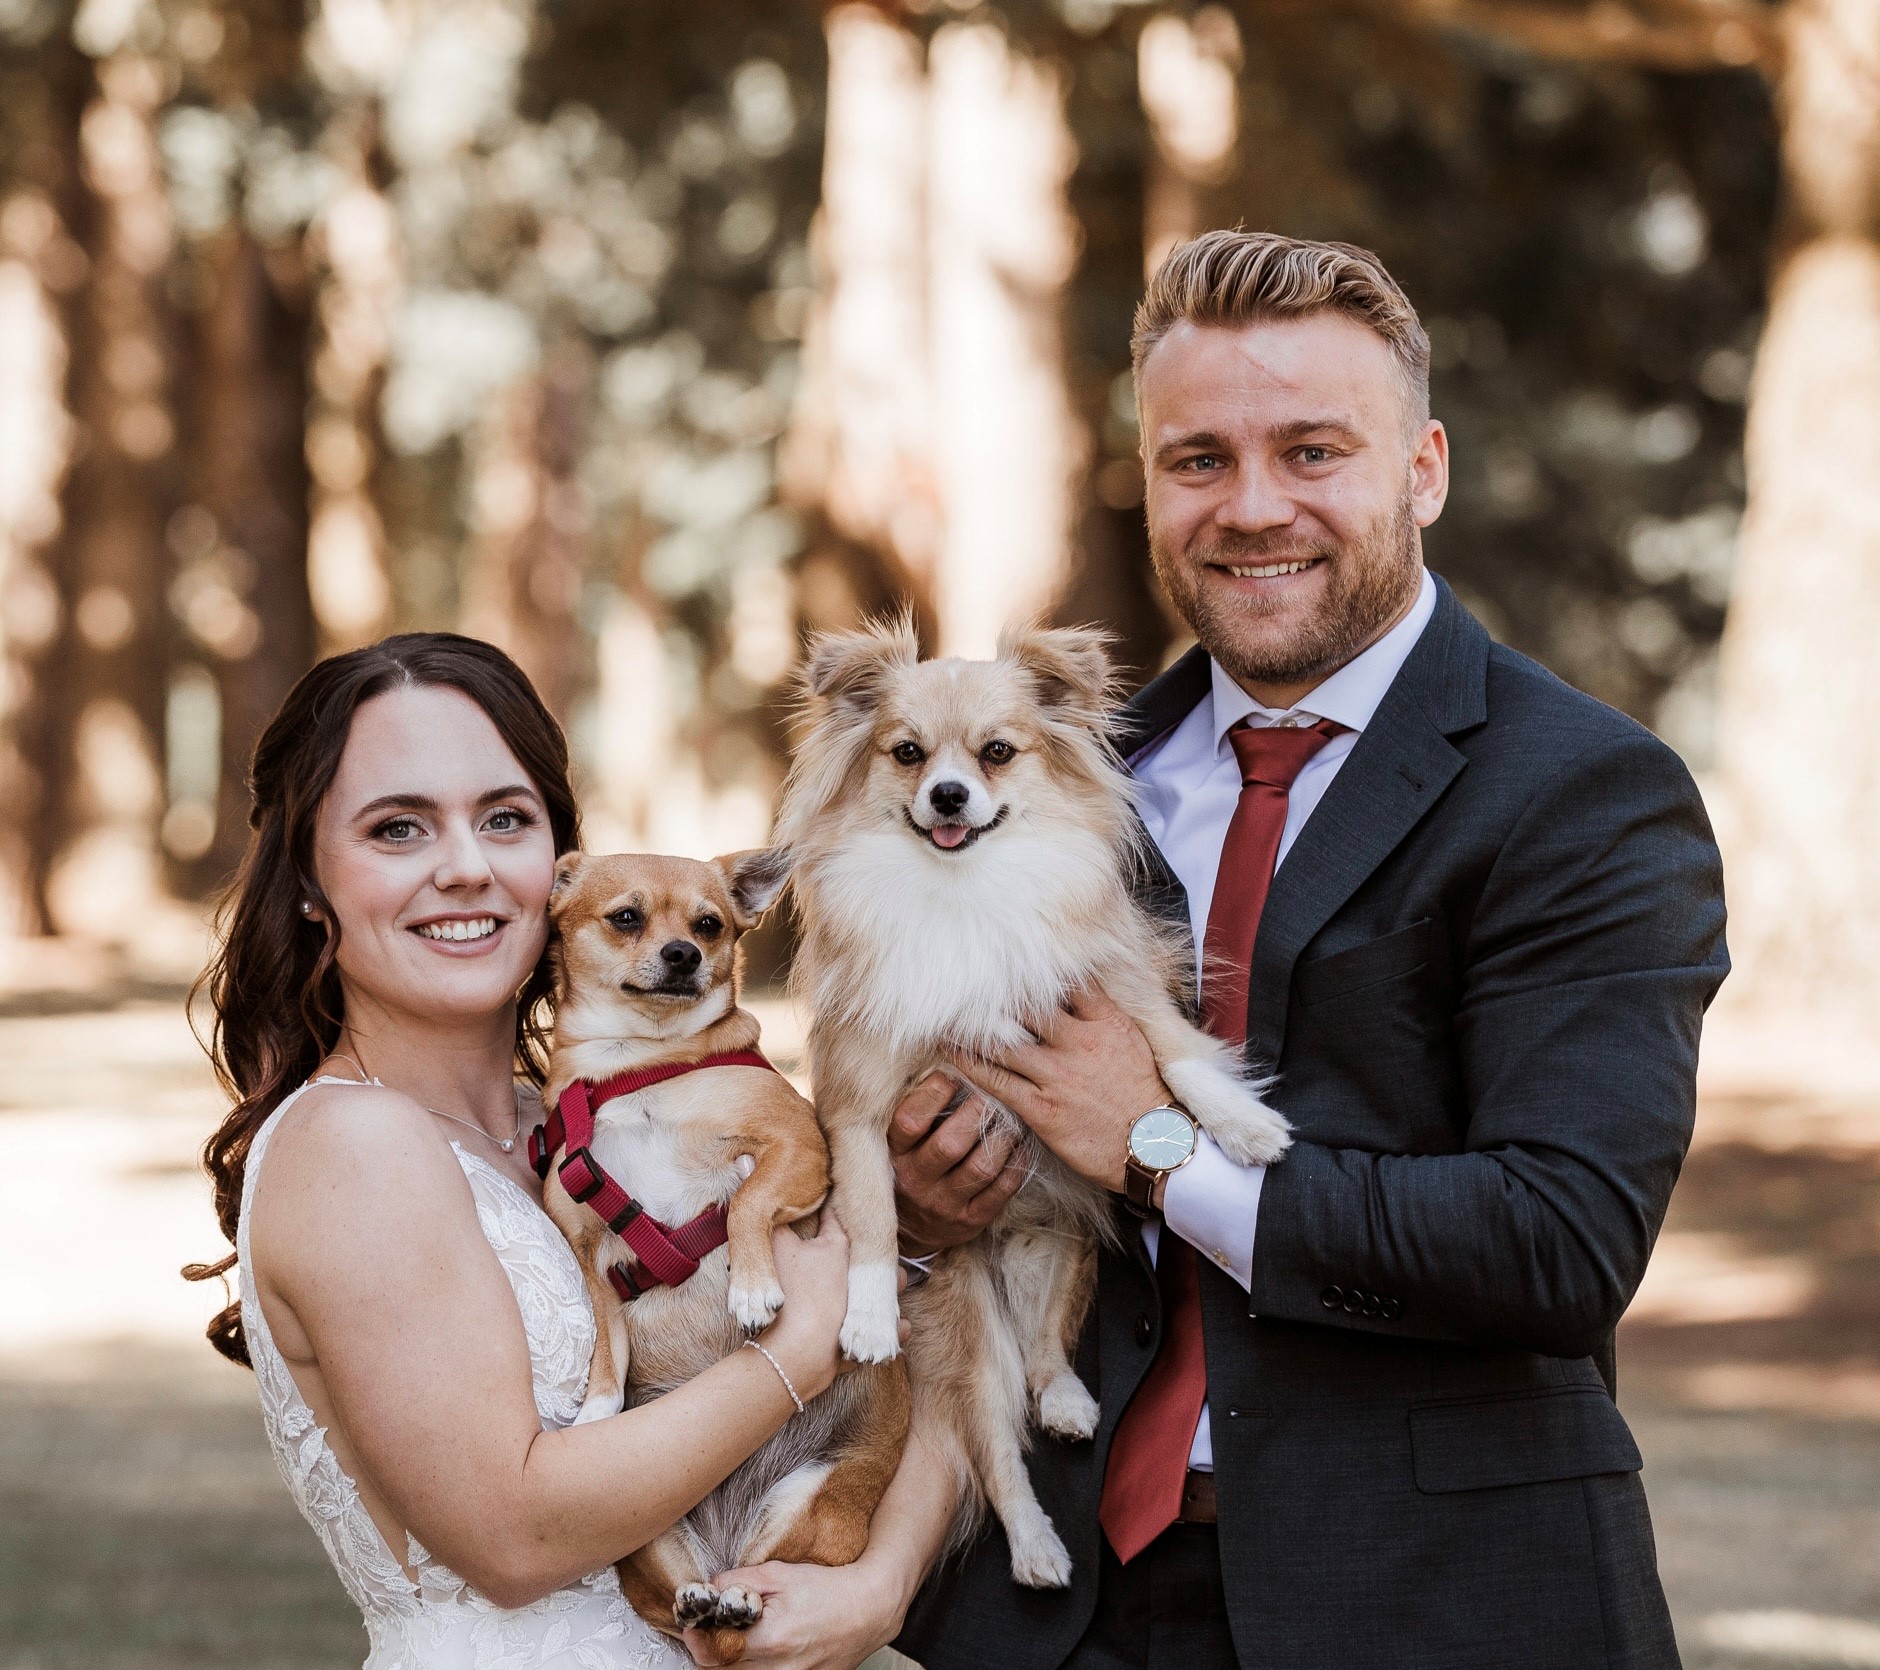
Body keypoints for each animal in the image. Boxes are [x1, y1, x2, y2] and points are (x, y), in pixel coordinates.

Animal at [537, 853, 909, 1662]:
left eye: (709, 925)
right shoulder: (580, 1238)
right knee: (681, 1611)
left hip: (807, 1501)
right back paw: (702, 1600)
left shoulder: (796, 1151)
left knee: (763, 1586)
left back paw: (738, 1600)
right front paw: (598, 1408)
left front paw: (751, 1290)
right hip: (650, 1520)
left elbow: (744, 1203)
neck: (637, 1064)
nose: (684, 954)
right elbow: (605, 1335)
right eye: (626, 917)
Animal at [770, 620, 1285, 1587]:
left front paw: (1244, 1125)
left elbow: (1176, 1054)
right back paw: (1039, 1545)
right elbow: (872, 1214)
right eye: (907, 753)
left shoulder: (1113, 987)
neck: (965, 891)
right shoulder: (860, 1101)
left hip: (1063, 1243)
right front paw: (866, 1315)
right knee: (998, 1449)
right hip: (968, 1325)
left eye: (998, 753)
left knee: (1048, 1347)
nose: (948, 793)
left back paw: (1069, 1398)